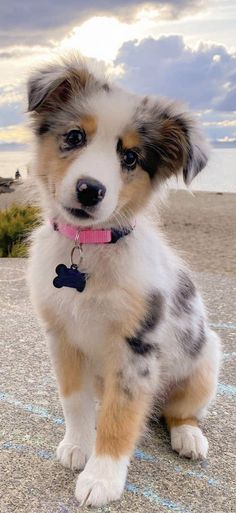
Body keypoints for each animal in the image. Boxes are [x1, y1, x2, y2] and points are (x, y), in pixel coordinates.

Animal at [27, 55, 221, 504]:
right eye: (74, 136)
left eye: (130, 158)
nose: (89, 190)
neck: (88, 247)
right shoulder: (61, 337)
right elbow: (75, 401)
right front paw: (78, 445)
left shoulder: (137, 348)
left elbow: (121, 416)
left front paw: (102, 479)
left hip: (206, 360)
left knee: (179, 411)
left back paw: (188, 436)